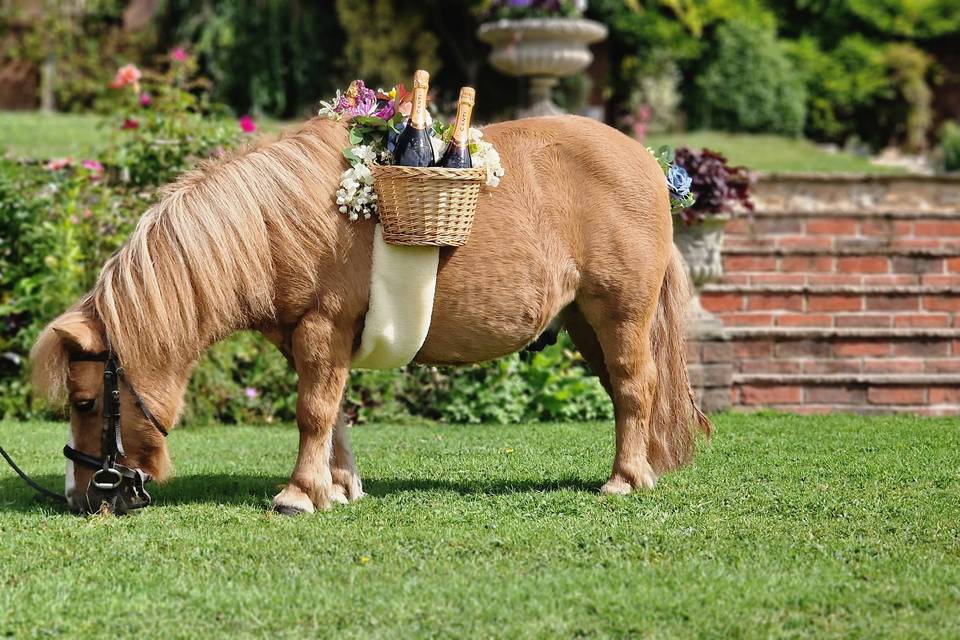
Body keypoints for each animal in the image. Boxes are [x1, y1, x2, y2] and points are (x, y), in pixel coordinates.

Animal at [30, 116, 712, 516]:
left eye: (86, 402)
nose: (77, 499)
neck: (278, 224)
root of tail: (650, 164)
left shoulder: (322, 326)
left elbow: (312, 412)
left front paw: (299, 494)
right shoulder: (310, 338)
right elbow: (331, 414)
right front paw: (335, 486)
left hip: (619, 314)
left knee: (634, 388)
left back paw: (625, 478)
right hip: (585, 325)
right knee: (629, 394)